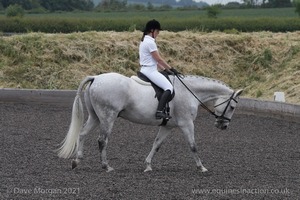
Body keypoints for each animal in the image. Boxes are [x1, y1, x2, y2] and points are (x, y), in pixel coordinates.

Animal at [57, 72, 243, 173]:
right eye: (232, 107)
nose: (223, 126)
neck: (190, 92)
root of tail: (95, 78)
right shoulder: (186, 124)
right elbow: (193, 146)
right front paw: (201, 167)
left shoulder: (168, 126)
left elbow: (156, 145)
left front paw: (147, 166)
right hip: (108, 117)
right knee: (102, 140)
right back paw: (106, 166)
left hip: (96, 117)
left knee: (82, 134)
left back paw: (77, 161)